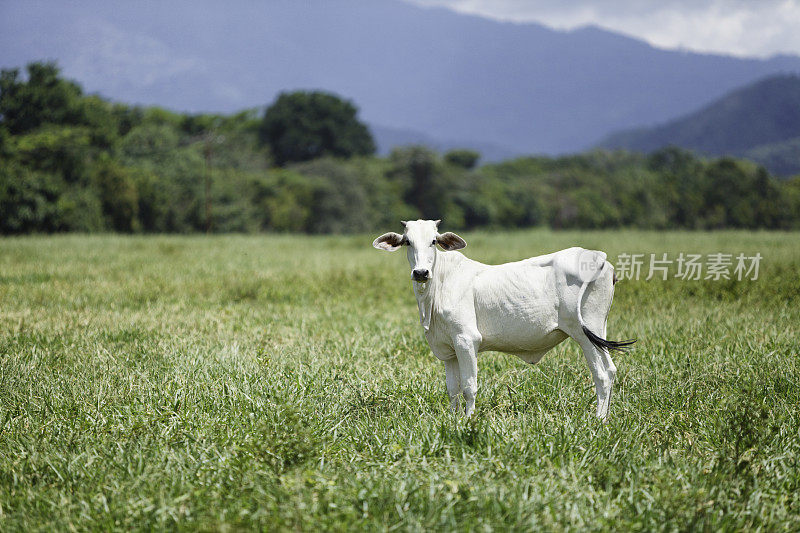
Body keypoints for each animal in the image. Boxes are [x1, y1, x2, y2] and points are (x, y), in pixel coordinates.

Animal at [372, 219, 636, 420]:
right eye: (407, 241)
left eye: (434, 241)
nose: (420, 273)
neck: (438, 286)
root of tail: (598, 257)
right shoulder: (448, 350)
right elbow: (453, 390)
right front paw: (453, 419)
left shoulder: (467, 340)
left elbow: (469, 387)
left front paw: (467, 420)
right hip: (598, 331)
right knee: (611, 370)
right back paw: (606, 417)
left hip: (585, 333)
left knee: (601, 374)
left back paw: (598, 419)